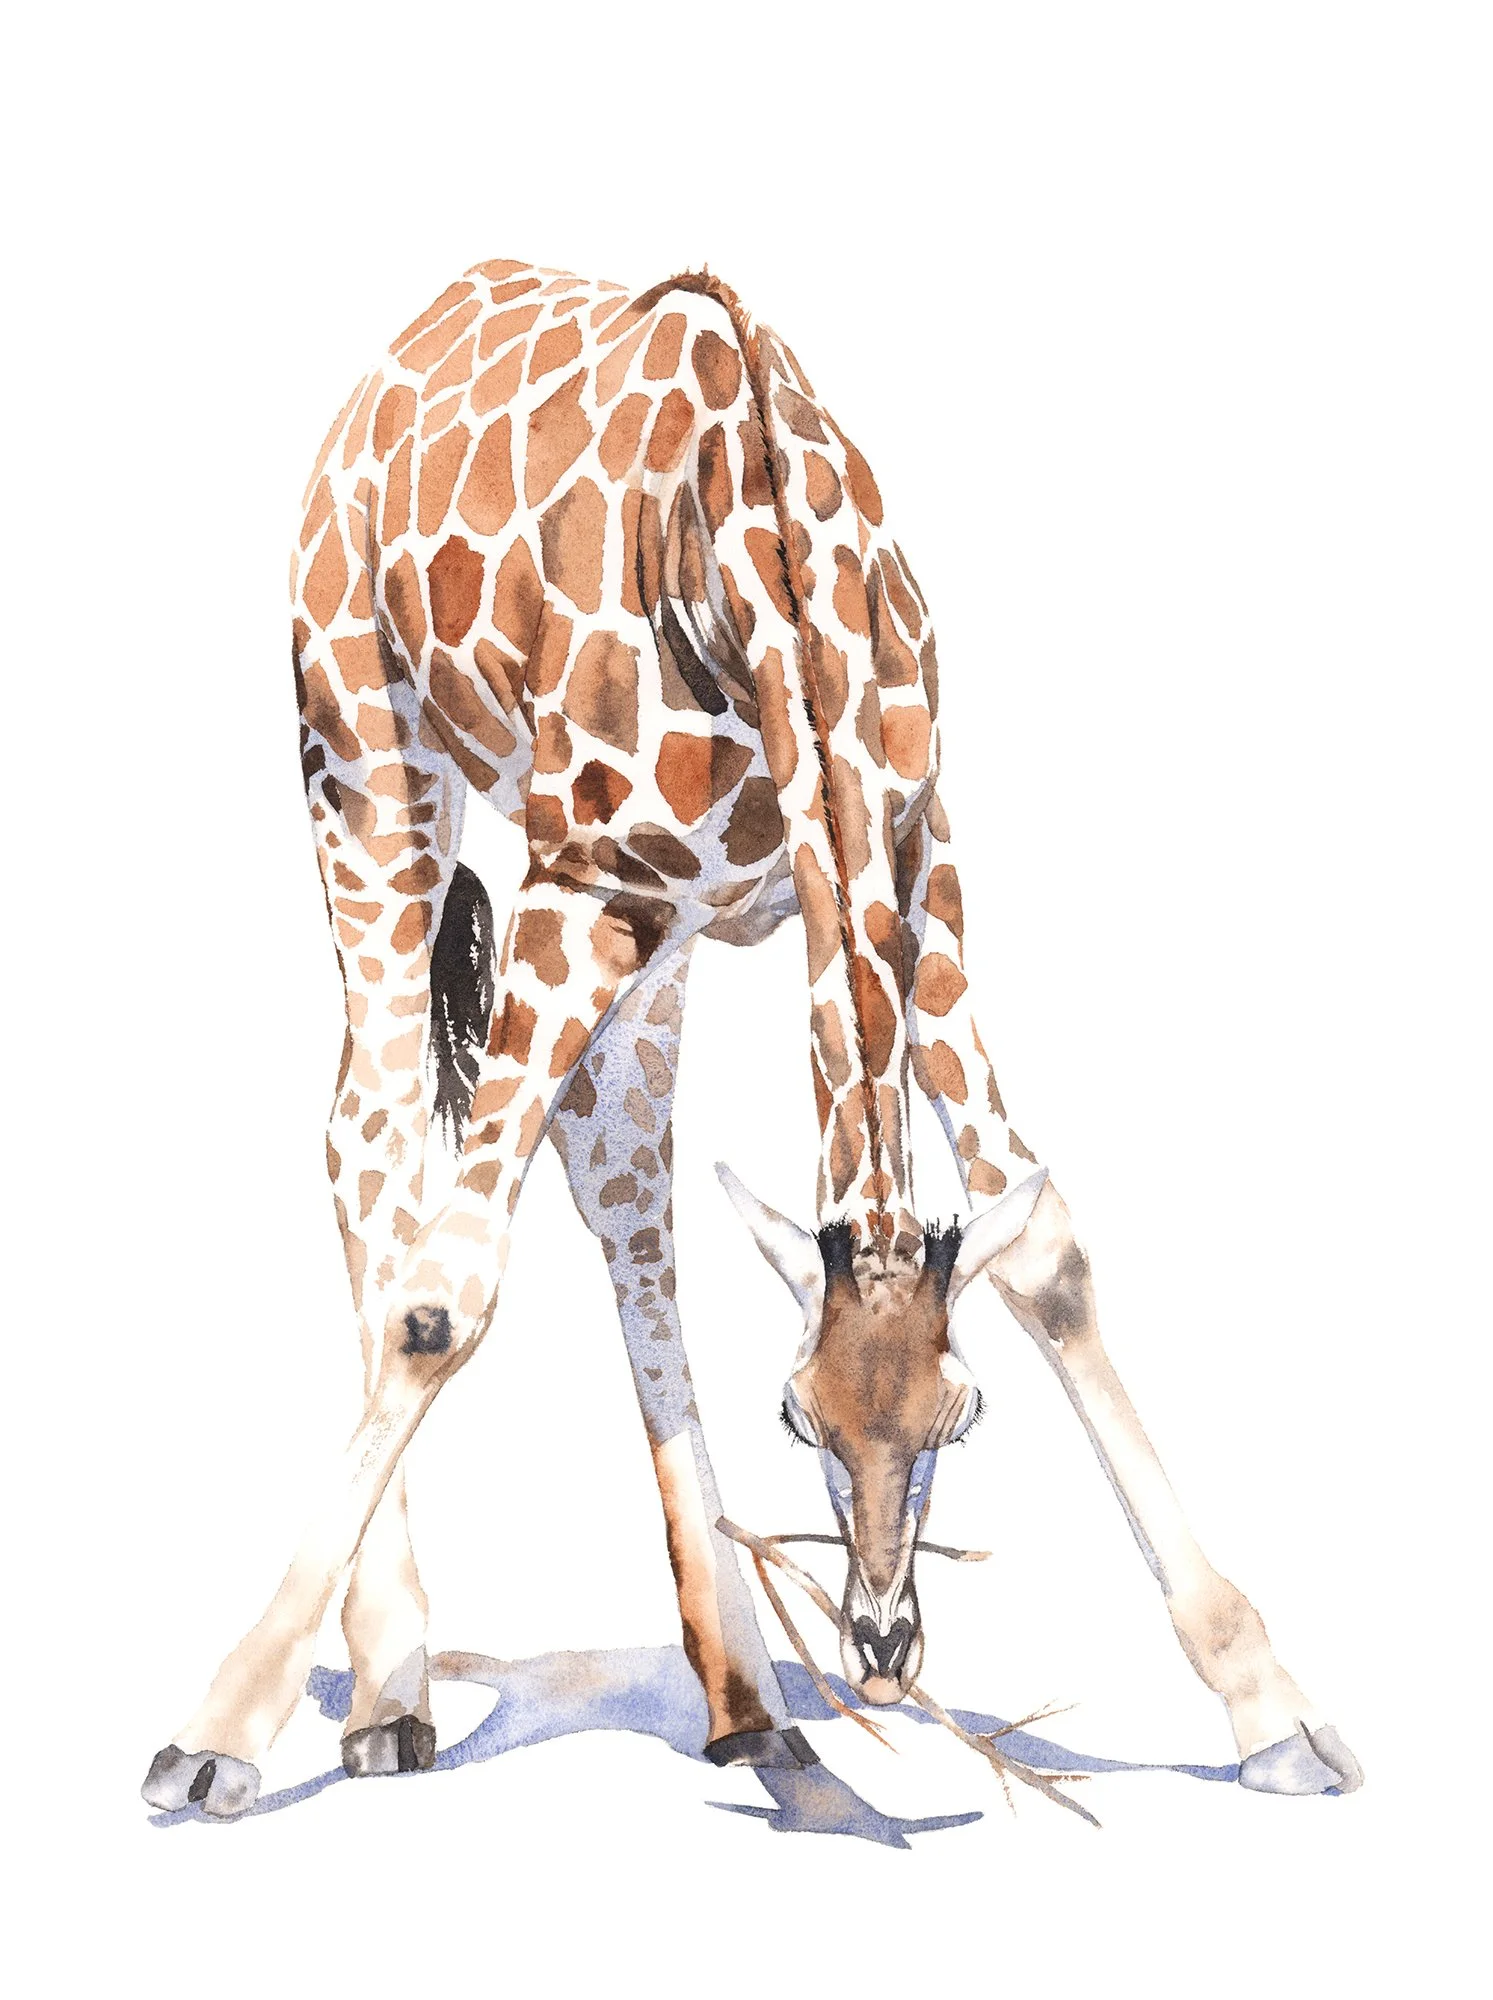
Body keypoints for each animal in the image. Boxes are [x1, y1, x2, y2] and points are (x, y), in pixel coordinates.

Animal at [142, 258, 1362, 1820]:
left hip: (640, 926)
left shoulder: (907, 851)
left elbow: (1045, 1246)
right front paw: (213, 1731)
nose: (884, 1648)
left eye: (959, 1415)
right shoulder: (580, 886)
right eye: (796, 1417)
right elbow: (442, 1303)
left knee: (618, 1177)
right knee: (371, 1128)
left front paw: (1274, 1709)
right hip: (364, 760)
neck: (758, 569)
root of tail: (412, 332)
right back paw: (394, 1690)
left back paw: (741, 1702)